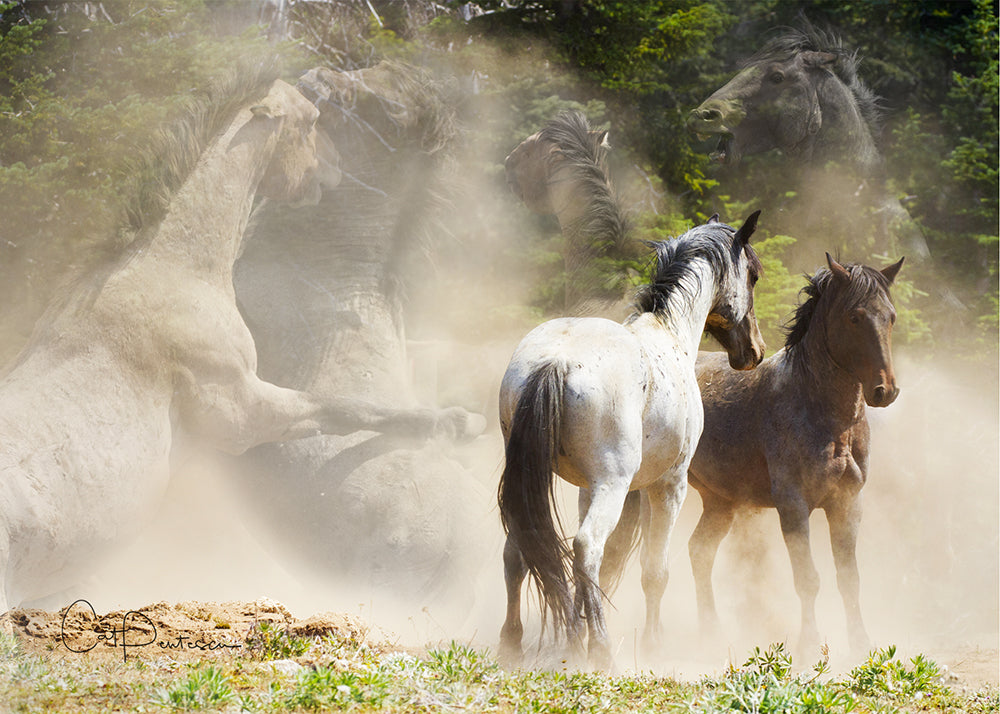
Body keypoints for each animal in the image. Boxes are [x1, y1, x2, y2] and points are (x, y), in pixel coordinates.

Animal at [0, 71, 484, 612]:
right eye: (311, 121)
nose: (333, 170)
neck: (166, 273)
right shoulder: (244, 414)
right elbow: (345, 408)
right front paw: (457, 422)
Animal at [498, 209, 764, 664]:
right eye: (752, 276)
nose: (755, 352)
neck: (669, 335)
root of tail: (554, 361)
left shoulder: (588, 488)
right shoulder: (668, 486)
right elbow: (654, 570)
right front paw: (652, 642)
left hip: (536, 480)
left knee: (518, 550)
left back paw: (515, 640)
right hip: (615, 485)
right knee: (586, 548)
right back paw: (599, 648)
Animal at [688, 253, 908, 652]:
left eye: (891, 316)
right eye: (854, 316)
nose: (885, 390)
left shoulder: (847, 504)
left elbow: (848, 579)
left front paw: (860, 643)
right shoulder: (793, 505)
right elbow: (808, 578)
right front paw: (809, 643)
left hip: (719, 503)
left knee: (699, 552)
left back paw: (710, 633)